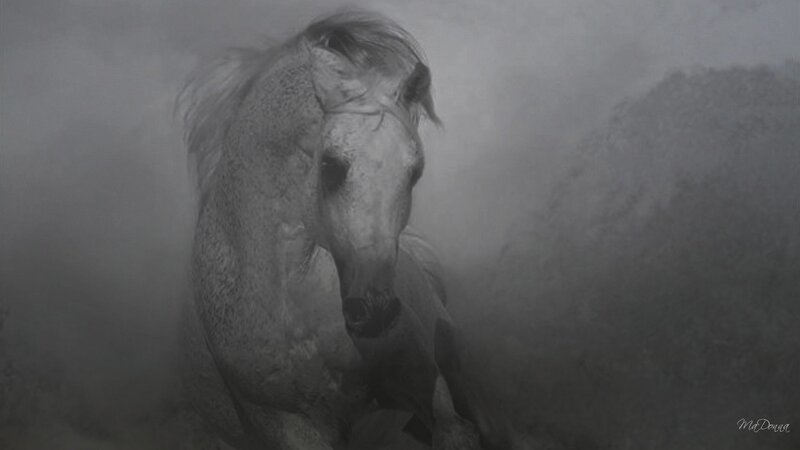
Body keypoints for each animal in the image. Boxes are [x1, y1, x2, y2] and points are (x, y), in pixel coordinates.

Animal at [177, 10, 508, 450]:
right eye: (331, 165)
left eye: (415, 171)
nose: (376, 311)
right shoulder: (286, 422)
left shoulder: (423, 392)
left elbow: (457, 430)